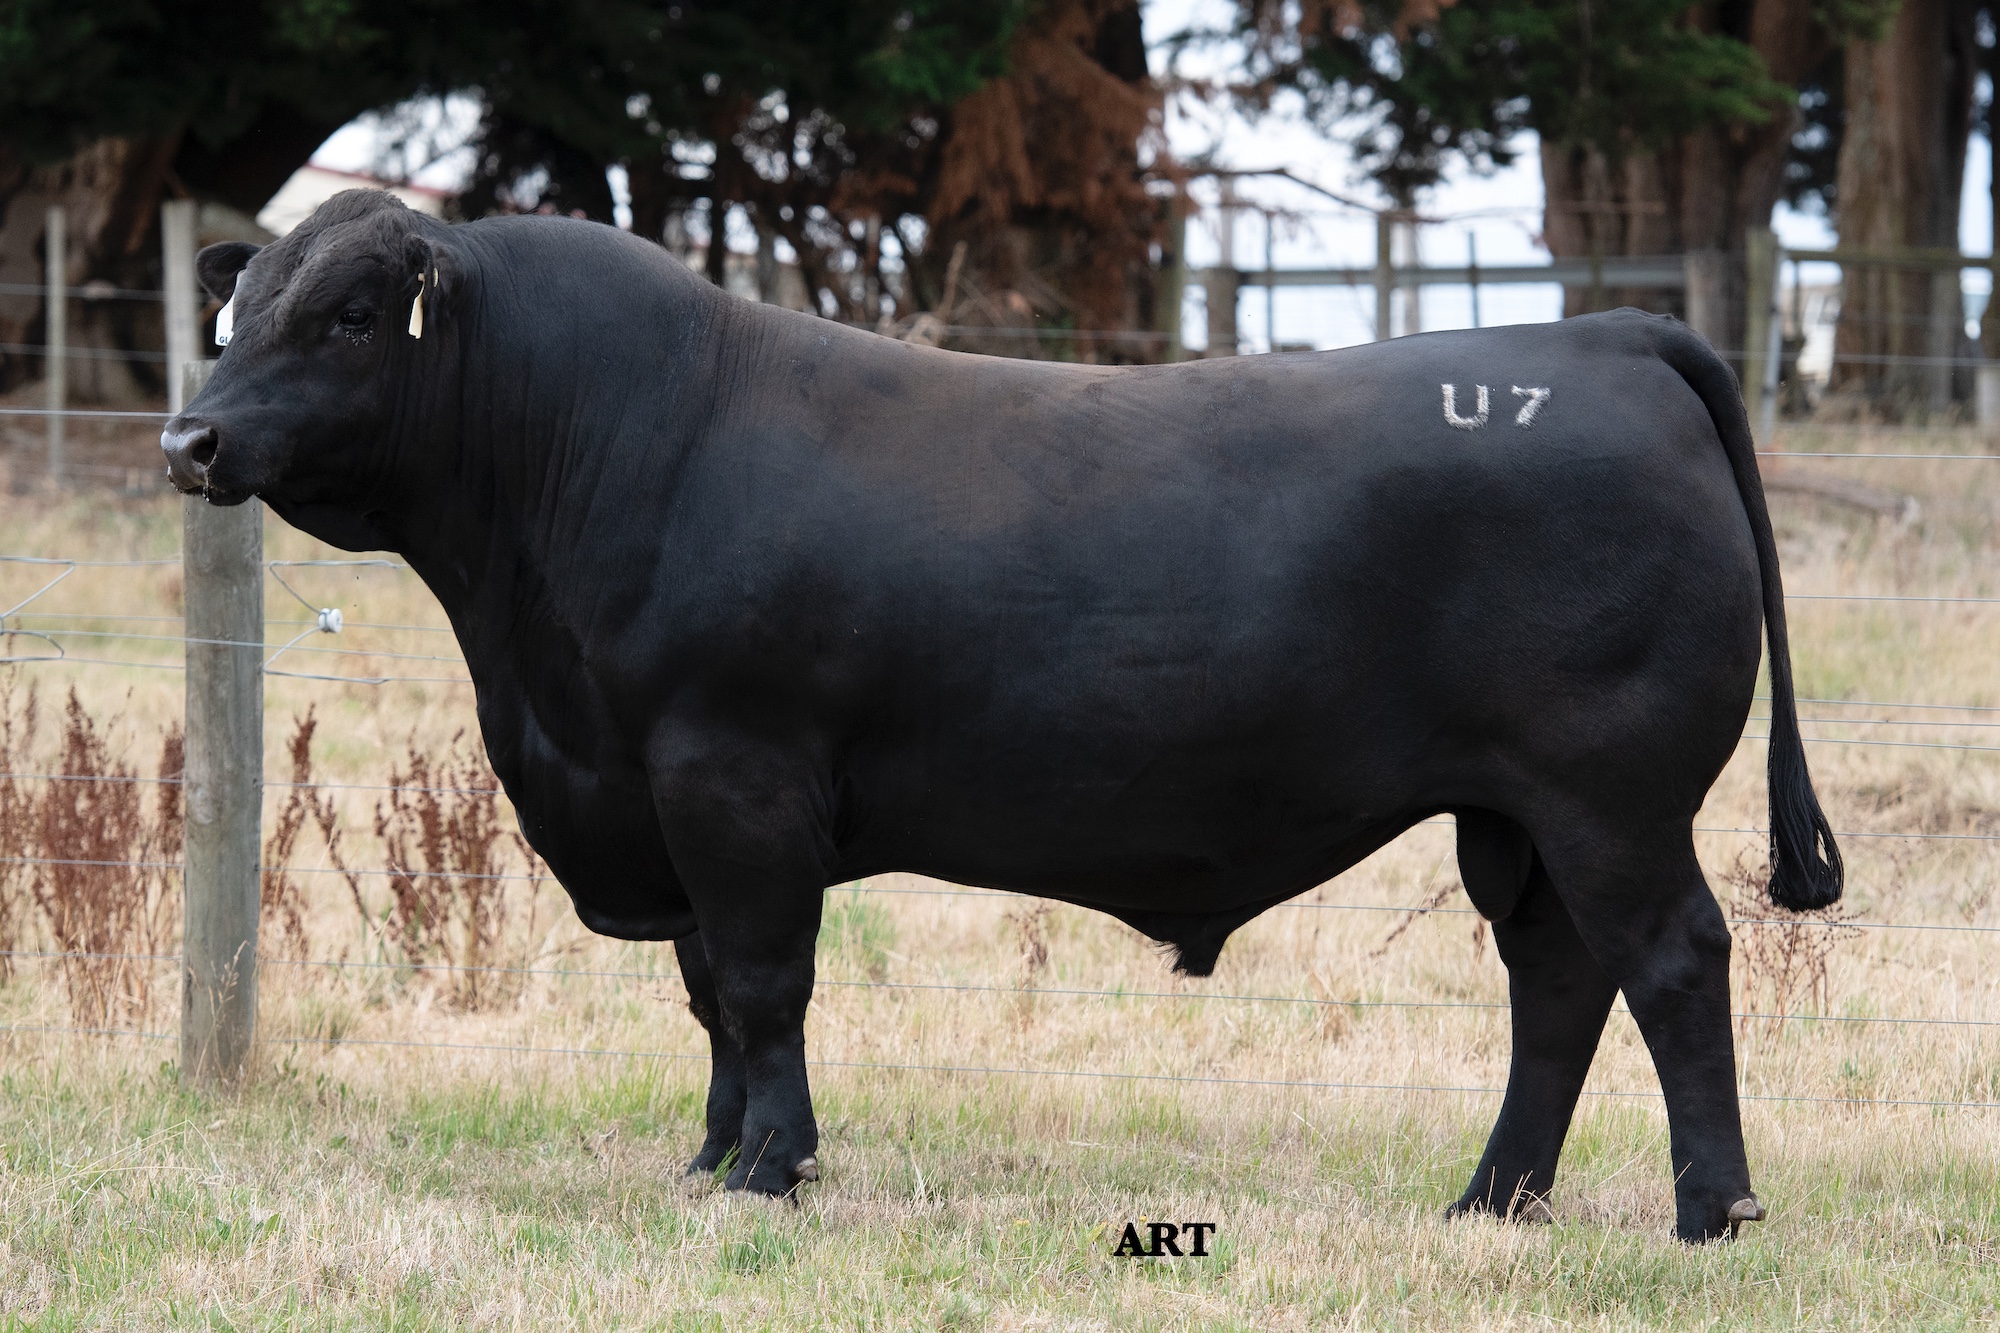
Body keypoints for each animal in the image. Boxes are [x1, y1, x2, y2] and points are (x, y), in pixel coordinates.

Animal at [162, 190, 1841, 1242]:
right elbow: (710, 995)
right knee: (1557, 983)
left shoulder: (733, 776)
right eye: (237, 305)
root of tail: (1606, 335)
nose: (190, 439)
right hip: (1519, 814)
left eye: (353, 313)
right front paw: (709, 1158)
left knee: (1672, 962)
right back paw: (1494, 1200)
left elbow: (763, 983)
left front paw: (770, 1169)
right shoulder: (659, 797)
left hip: (1612, 794)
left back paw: (1712, 1211)